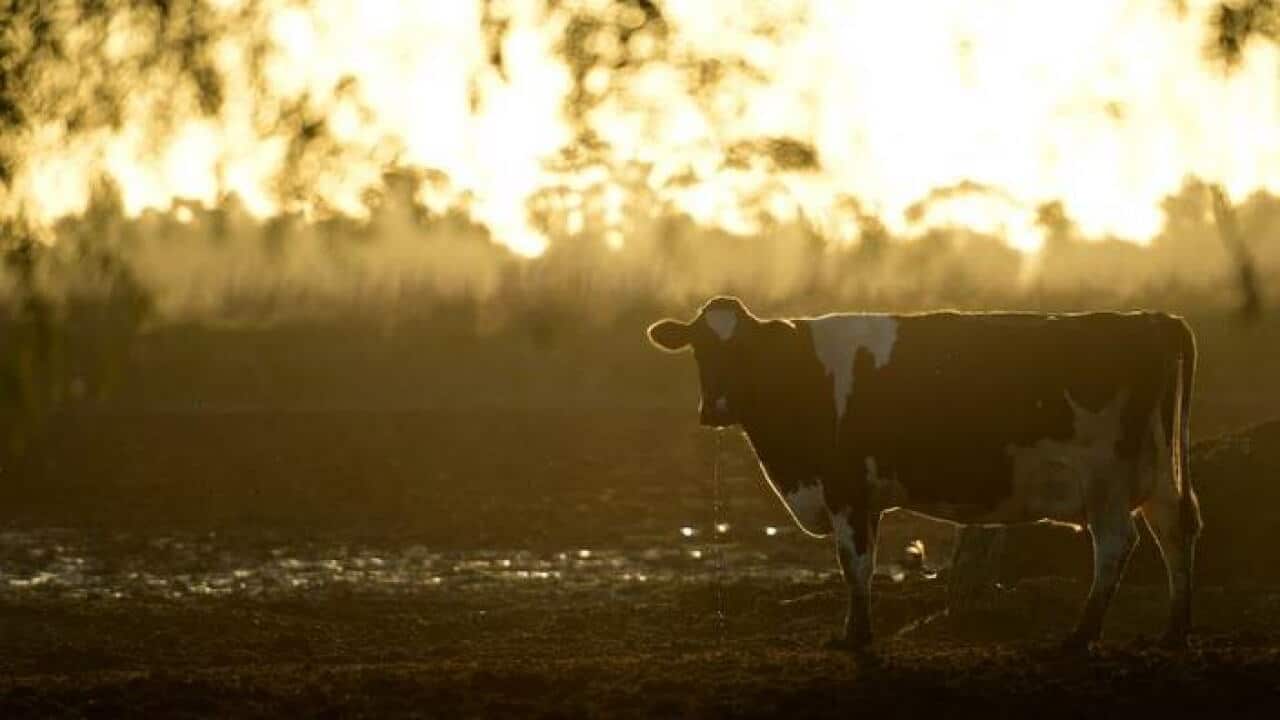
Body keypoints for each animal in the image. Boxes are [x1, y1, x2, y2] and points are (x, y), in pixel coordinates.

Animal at [647, 296, 1201, 652]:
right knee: (1175, 530)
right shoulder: (864, 494)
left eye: (745, 351)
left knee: (1114, 544)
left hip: (1106, 477)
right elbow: (862, 562)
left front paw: (854, 637)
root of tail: (1153, 318)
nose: (715, 409)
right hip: (1158, 471)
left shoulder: (845, 486)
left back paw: (1081, 635)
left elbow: (854, 563)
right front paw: (858, 631)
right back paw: (1172, 632)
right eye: (698, 347)